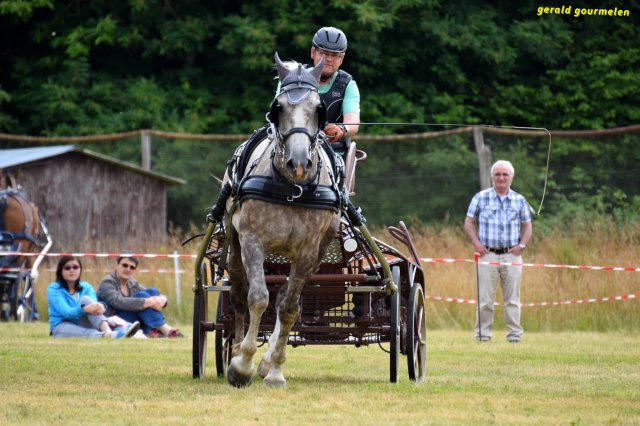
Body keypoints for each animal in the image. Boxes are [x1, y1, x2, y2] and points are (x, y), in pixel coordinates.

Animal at [222, 53, 341, 387]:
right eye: (280, 108)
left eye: (318, 108)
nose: (299, 163)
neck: (291, 189)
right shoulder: (252, 240)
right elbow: (258, 298)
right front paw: (241, 365)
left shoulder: (307, 252)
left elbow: (288, 306)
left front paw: (273, 369)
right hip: (234, 243)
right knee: (238, 294)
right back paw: (235, 351)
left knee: (286, 296)